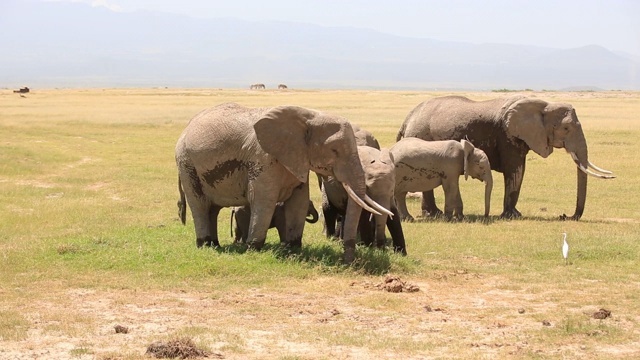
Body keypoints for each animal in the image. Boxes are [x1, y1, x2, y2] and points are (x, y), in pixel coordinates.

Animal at [178, 102, 392, 262]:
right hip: (186, 163)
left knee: (212, 209)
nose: (347, 259)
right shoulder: (263, 157)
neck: (309, 116)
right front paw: (253, 249)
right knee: (199, 204)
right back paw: (205, 245)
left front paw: (293, 249)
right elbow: (263, 200)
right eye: (334, 150)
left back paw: (214, 244)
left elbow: (299, 202)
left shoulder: (298, 159)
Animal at [396, 95, 616, 219]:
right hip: (421, 134)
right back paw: (433, 215)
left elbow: (518, 171)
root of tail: (407, 118)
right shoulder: (508, 135)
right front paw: (513, 216)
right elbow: (516, 170)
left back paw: (433, 214)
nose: (565, 215)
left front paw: (512, 214)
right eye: (566, 128)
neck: (544, 104)